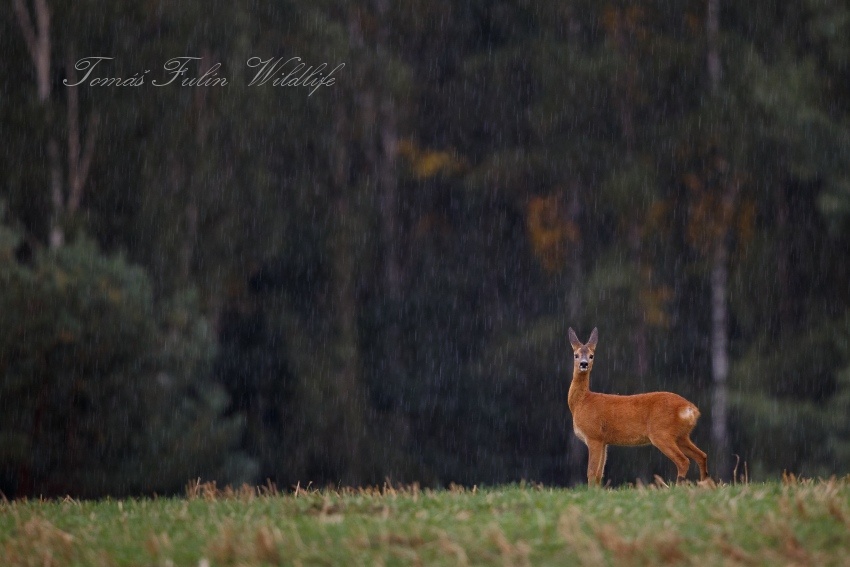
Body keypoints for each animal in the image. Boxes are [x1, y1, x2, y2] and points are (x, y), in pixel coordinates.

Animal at [568, 327, 708, 486]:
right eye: (576, 355)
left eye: (591, 355)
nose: (584, 364)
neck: (582, 402)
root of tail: (690, 409)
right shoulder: (604, 441)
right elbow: (599, 474)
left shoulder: (594, 435)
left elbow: (591, 473)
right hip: (682, 435)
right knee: (702, 455)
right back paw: (705, 485)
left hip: (661, 432)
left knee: (683, 461)